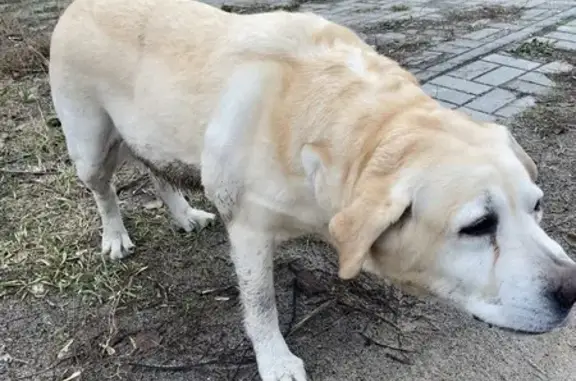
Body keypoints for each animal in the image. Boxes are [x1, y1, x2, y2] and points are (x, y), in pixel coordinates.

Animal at [50, 0, 576, 378]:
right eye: (479, 225)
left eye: (537, 207)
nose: (572, 290)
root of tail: (79, 4)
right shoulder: (248, 228)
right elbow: (261, 303)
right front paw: (276, 360)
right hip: (89, 144)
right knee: (104, 190)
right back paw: (115, 236)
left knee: (156, 170)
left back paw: (182, 214)